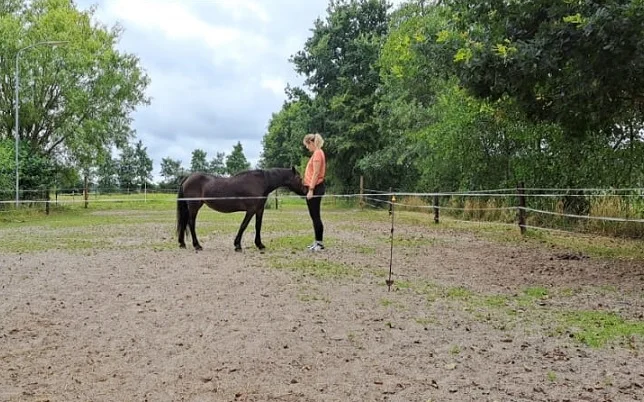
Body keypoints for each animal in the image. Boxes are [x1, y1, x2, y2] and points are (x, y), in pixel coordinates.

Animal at [176, 167, 306, 251]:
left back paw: (182, 243)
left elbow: (258, 226)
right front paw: (237, 245)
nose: (305, 191)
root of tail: (188, 177)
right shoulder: (251, 210)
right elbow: (243, 225)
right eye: (300, 178)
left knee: (185, 223)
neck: (261, 182)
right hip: (194, 207)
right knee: (191, 223)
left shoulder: (259, 210)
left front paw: (260, 245)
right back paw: (197, 245)